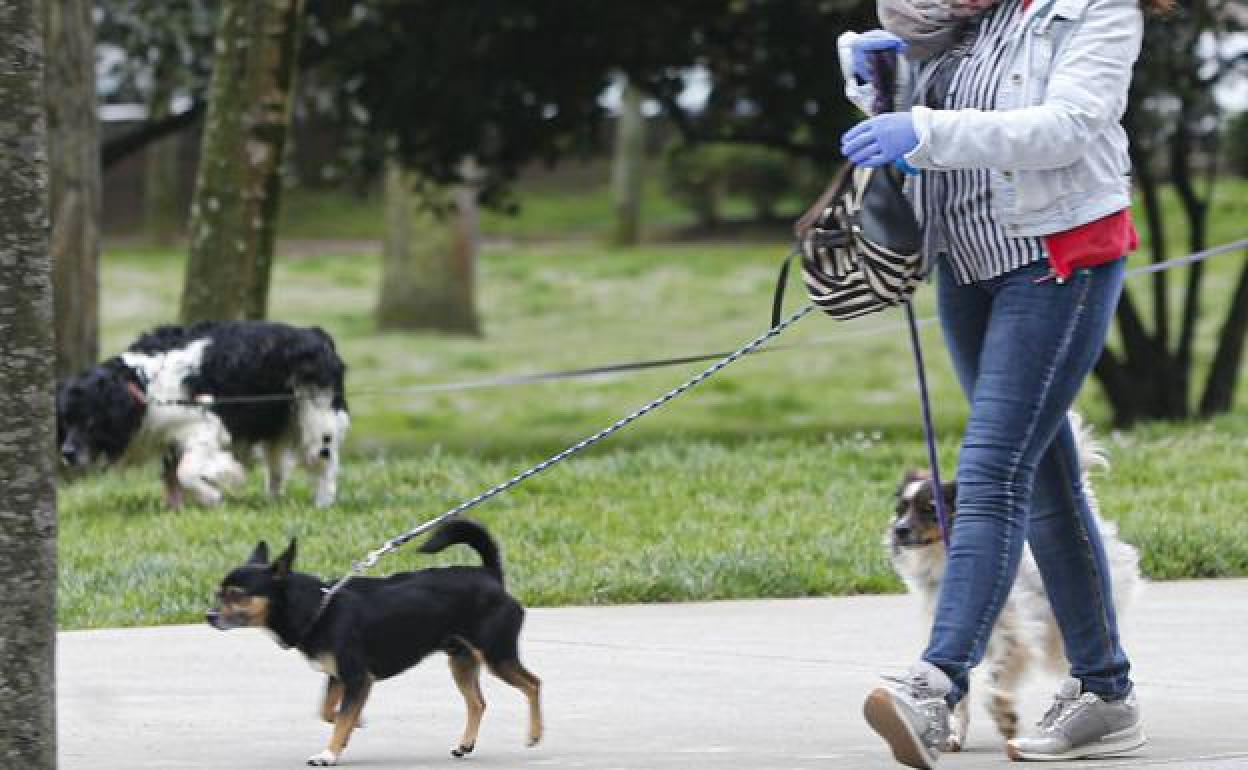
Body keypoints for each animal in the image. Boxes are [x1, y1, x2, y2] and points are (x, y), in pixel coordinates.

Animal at [56, 319, 349, 506]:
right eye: (66, 422)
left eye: (91, 421)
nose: (67, 454)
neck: (144, 384)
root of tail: (317, 334)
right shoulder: (169, 438)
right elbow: (173, 478)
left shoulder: (203, 426)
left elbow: (186, 473)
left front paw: (217, 491)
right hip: (277, 422)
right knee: (276, 468)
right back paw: (273, 501)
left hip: (315, 419)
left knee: (325, 464)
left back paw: (322, 503)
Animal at [888, 414, 1143, 748]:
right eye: (900, 509)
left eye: (930, 509)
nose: (899, 530)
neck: (942, 563)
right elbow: (961, 690)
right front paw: (954, 731)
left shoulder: (1016, 634)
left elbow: (998, 675)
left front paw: (1003, 712)